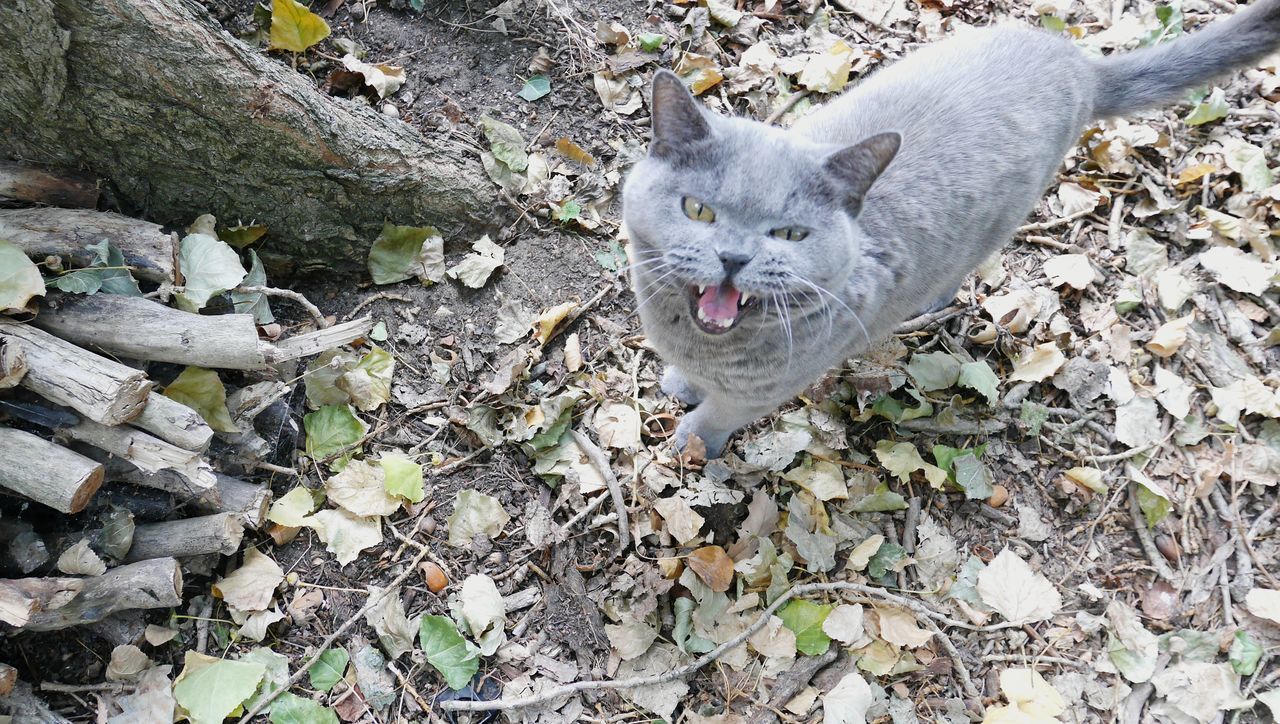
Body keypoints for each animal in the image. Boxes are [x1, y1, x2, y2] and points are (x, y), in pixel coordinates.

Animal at [619, 0, 1280, 457]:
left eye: (789, 236)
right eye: (699, 211)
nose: (733, 257)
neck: (703, 340)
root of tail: (1081, 63)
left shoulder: (762, 390)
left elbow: (719, 416)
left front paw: (691, 442)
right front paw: (679, 383)